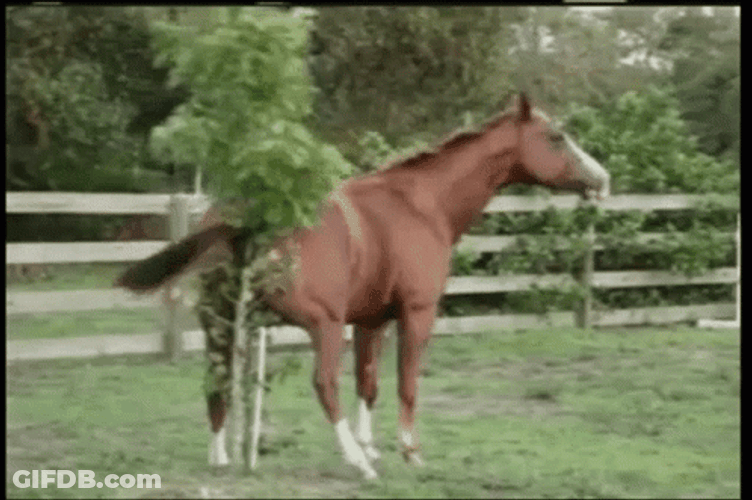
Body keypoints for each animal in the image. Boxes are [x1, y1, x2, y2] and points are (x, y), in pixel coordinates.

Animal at [115, 93, 610, 480]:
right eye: (556, 137)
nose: (601, 180)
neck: (420, 204)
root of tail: (246, 218)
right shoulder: (415, 313)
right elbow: (405, 383)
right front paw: (407, 451)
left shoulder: (372, 321)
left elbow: (368, 384)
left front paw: (372, 444)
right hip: (322, 324)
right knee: (323, 384)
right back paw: (355, 461)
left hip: (222, 321)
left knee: (217, 380)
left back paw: (221, 457)